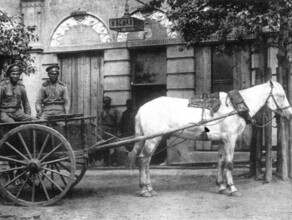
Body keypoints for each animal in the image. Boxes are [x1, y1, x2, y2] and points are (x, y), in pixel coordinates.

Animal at [128, 80, 292, 197]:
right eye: (282, 96)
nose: (289, 114)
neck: (235, 107)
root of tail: (142, 108)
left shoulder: (222, 140)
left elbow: (221, 162)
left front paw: (222, 186)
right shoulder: (230, 139)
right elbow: (229, 164)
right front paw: (232, 188)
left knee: (145, 160)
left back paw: (148, 188)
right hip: (152, 139)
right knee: (144, 160)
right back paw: (146, 190)